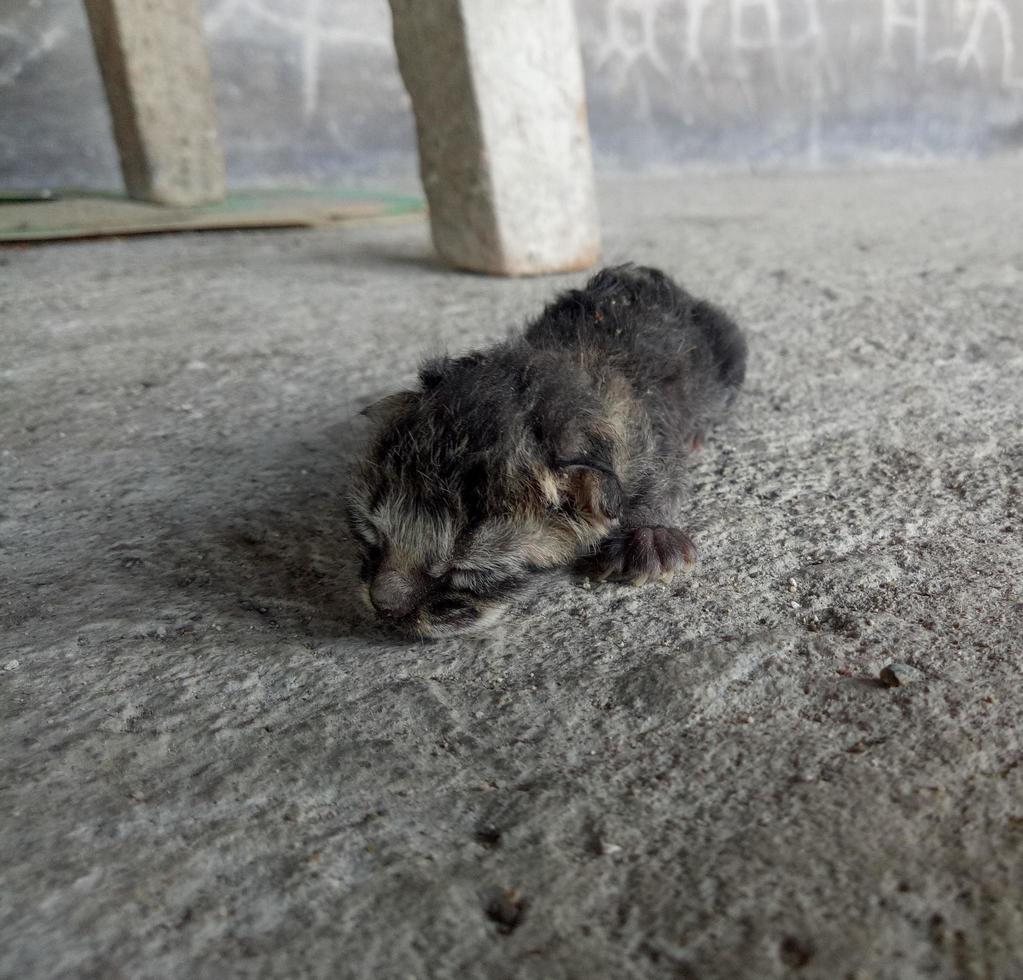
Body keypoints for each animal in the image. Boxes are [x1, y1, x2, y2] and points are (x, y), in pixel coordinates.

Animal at [347, 263, 748, 642]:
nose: (385, 606)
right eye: (370, 535)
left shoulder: (650, 439)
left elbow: (661, 479)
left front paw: (648, 534)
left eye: (469, 570)